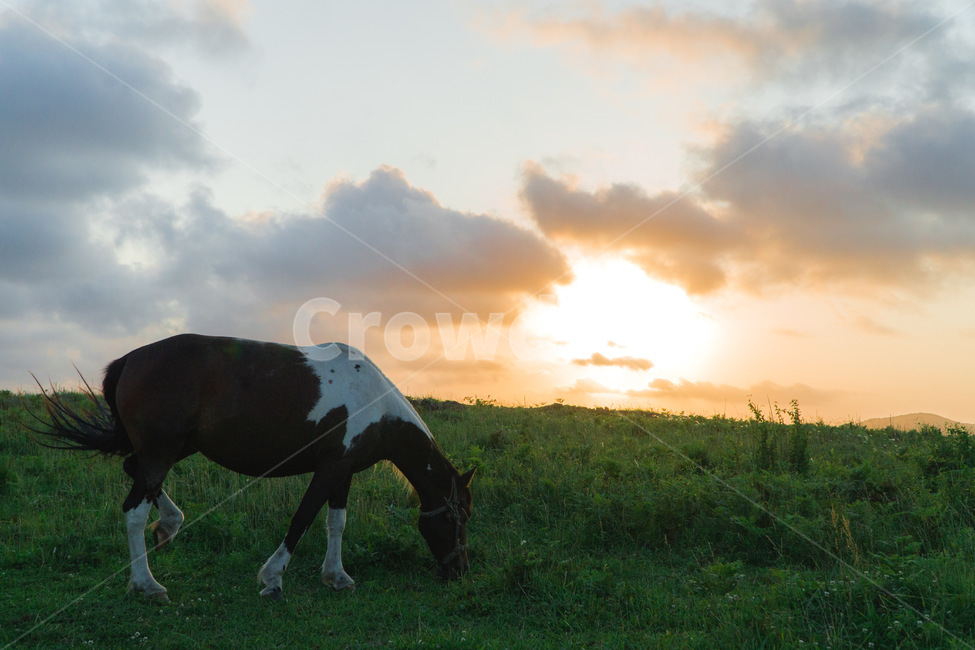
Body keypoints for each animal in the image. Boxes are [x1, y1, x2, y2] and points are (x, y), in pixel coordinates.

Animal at [31, 333, 474, 602]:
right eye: (460, 517)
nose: (460, 571)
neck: (373, 402)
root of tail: (130, 359)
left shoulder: (342, 470)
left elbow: (336, 523)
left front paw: (336, 576)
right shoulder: (329, 469)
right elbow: (303, 519)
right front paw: (273, 578)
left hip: (175, 448)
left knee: (131, 470)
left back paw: (170, 524)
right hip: (162, 451)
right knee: (134, 511)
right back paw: (147, 584)